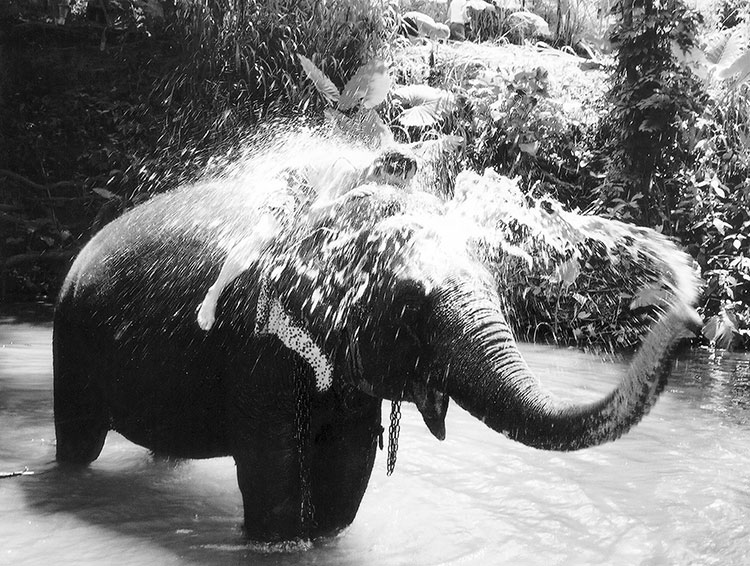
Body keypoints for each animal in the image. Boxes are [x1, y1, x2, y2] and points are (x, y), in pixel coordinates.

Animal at [51, 153, 700, 544]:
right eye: (412, 300)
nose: (689, 315)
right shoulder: (257, 343)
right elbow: (273, 471)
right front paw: (282, 542)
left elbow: (349, 466)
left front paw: (325, 537)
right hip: (71, 336)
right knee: (79, 443)